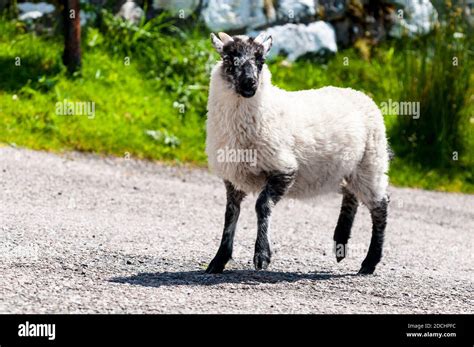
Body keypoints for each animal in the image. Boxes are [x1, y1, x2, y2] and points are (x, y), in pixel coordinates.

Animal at [206, 32, 390, 278]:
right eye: (229, 59)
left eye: (261, 61)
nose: (250, 83)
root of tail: (360, 94)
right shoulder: (232, 178)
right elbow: (230, 215)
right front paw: (218, 260)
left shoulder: (283, 168)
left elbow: (262, 206)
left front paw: (262, 255)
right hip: (342, 170)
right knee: (351, 194)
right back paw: (341, 242)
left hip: (371, 162)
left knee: (380, 206)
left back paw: (369, 262)